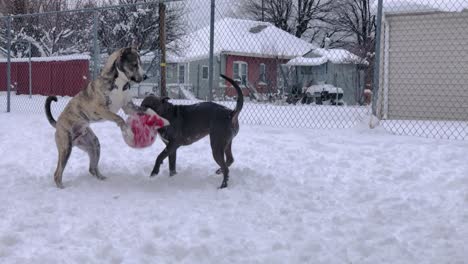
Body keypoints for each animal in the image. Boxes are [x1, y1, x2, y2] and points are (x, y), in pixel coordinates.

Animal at [45, 47, 148, 188]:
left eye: (140, 63)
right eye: (134, 64)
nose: (145, 76)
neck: (119, 84)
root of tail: (57, 124)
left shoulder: (128, 107)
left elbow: (144, 111)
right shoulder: (101, 110)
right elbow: (119, 119)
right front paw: (127, 131)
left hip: (93, 144)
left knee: (92, 168)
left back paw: (102, 178)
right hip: (66, 147)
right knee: (57, 173)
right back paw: (61, 187)